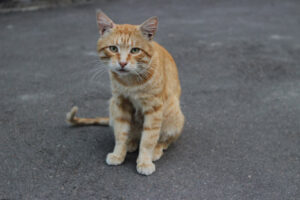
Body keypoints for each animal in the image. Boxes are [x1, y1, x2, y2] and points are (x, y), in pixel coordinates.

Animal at [66, 10, 184, 175]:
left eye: (135, 50)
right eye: (113, 48)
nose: (122, 63)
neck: (130, 82)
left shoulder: (154, 108)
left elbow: (149, 138)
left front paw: (144, 161)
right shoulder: (120, 103)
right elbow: (121, 133)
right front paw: (118, 154)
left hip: (173, 112)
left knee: (165, 140)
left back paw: (156, 150)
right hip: (112, 105)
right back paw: (131, 143)